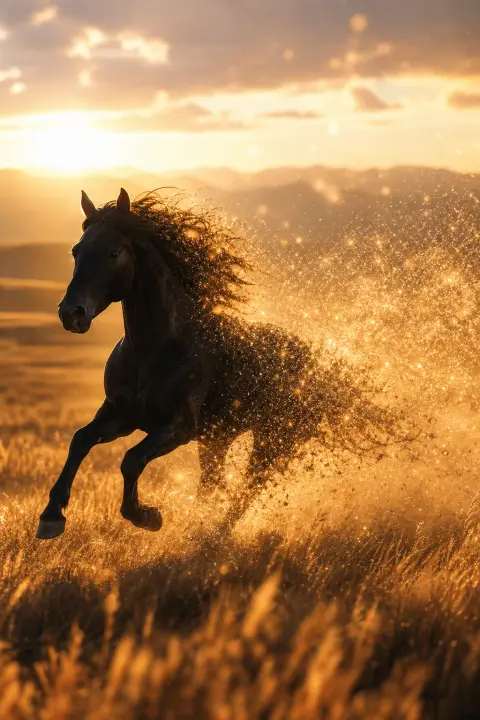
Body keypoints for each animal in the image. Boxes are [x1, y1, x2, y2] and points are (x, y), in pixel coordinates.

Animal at [37, 188, 399, 540]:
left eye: (114, 253)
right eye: (76, 251)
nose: (71, 313)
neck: (156, 350)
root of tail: (316, 366)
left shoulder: (179, 426)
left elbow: (131, 460)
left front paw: (147, 516)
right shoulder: (121, 413)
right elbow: (80, 440)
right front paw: (51, 516)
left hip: (272, 441)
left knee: (247, 488)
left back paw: (213, 536)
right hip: (217, 440)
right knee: (214, 484)